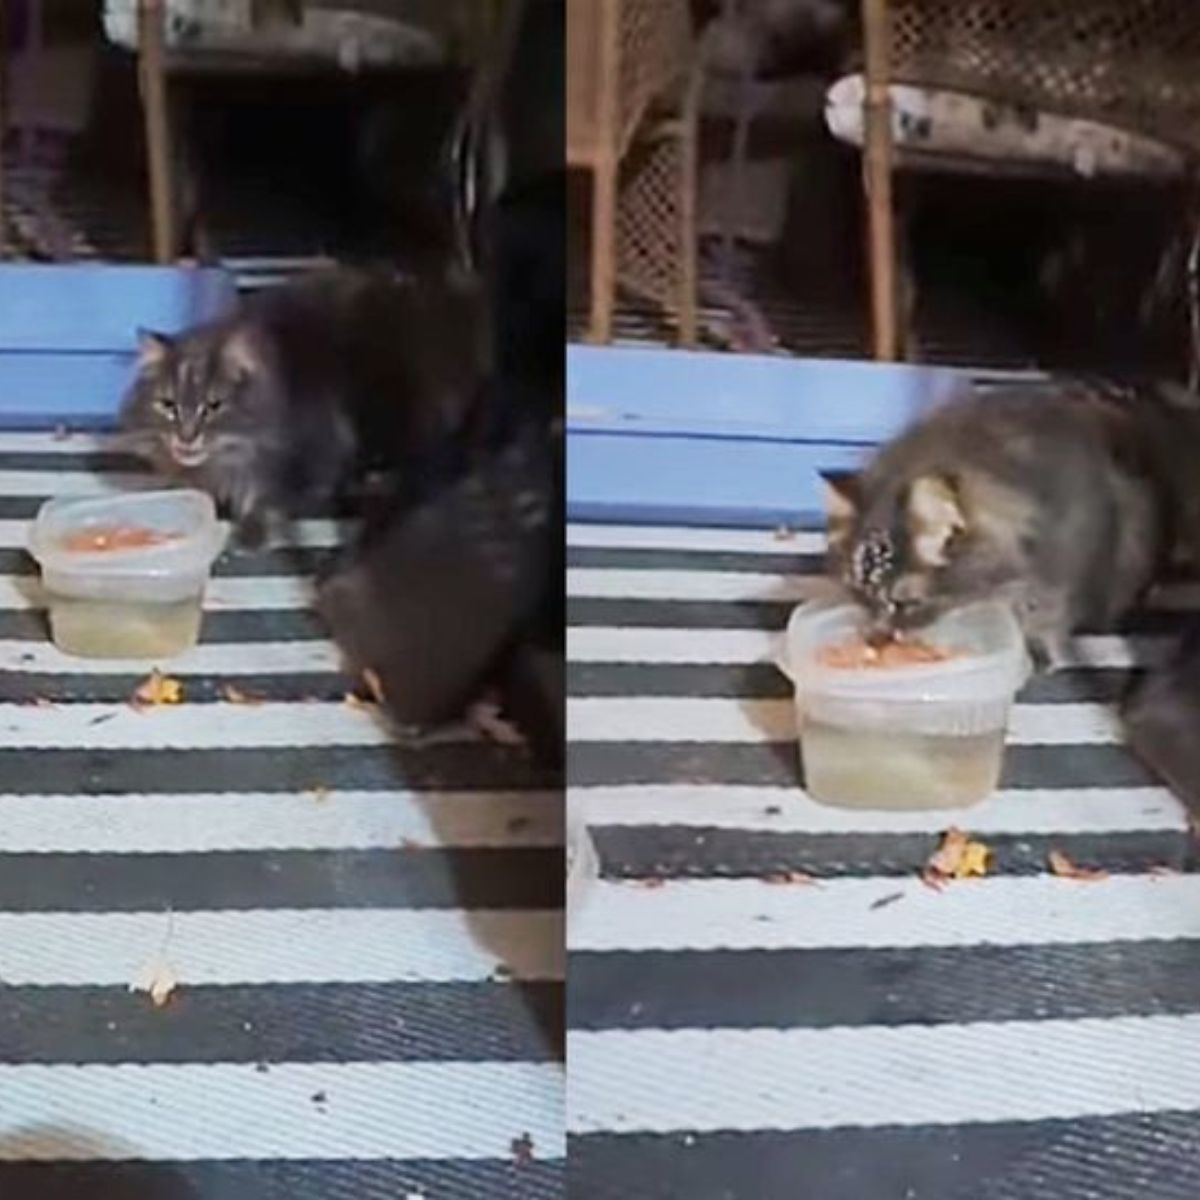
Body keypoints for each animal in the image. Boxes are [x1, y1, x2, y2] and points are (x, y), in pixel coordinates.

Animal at [114, 265, 484, 547]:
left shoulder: (302, 455)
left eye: (213, 406)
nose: (187, 436)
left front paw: (250, 533)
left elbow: (267, 499)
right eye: (168, 405)